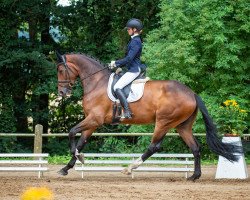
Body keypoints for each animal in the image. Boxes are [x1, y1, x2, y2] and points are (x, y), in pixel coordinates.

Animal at [55, 52, 241, 181]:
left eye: (61, 70)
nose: (62, 93)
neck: (96, 83)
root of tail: (191, 93)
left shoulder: (95, 119)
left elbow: (71, 132)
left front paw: (78, 157)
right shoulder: (92, 122)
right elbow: (81, 141)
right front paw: (67, 167)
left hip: (164, 122)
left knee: (154, 146)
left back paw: (130, 168)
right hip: (182, 126)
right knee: (195, 147)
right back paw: (194, 176)